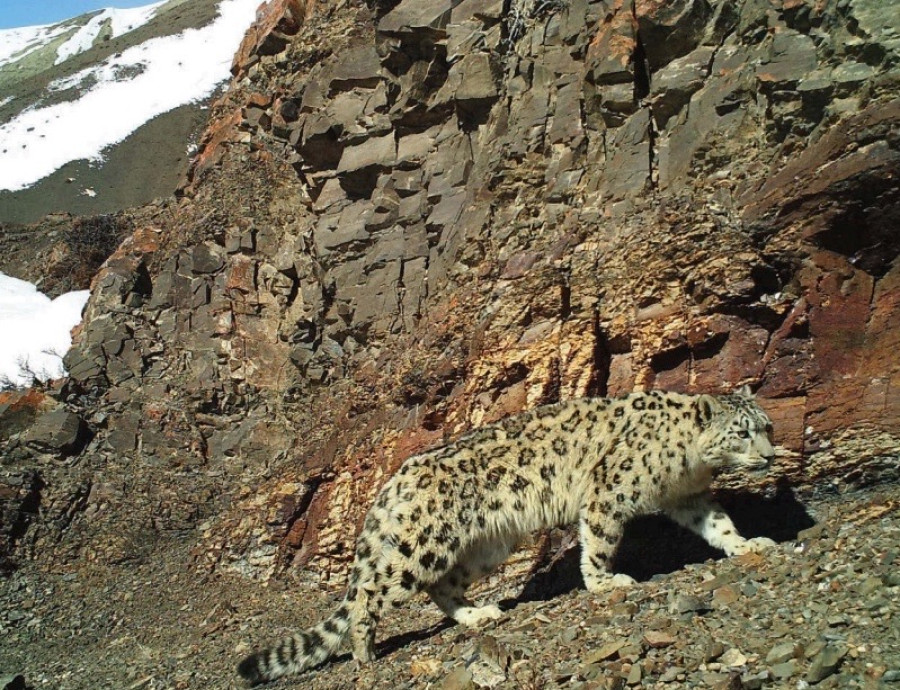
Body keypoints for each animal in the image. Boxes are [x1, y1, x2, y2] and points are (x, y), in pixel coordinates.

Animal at [237, 386, 778, 685]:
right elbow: (600, 542)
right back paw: (364, 651)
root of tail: (396, 480)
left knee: (444, 588)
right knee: (372, 591)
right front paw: (606, 582)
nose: (771, 455)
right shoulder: (608, 491)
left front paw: (747, 544)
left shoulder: (690, 496)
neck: (688, 463)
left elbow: (718, 523)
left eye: (766, 427)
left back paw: (479, 614)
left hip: (485, 547)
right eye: (742, 433)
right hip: (421, 548)